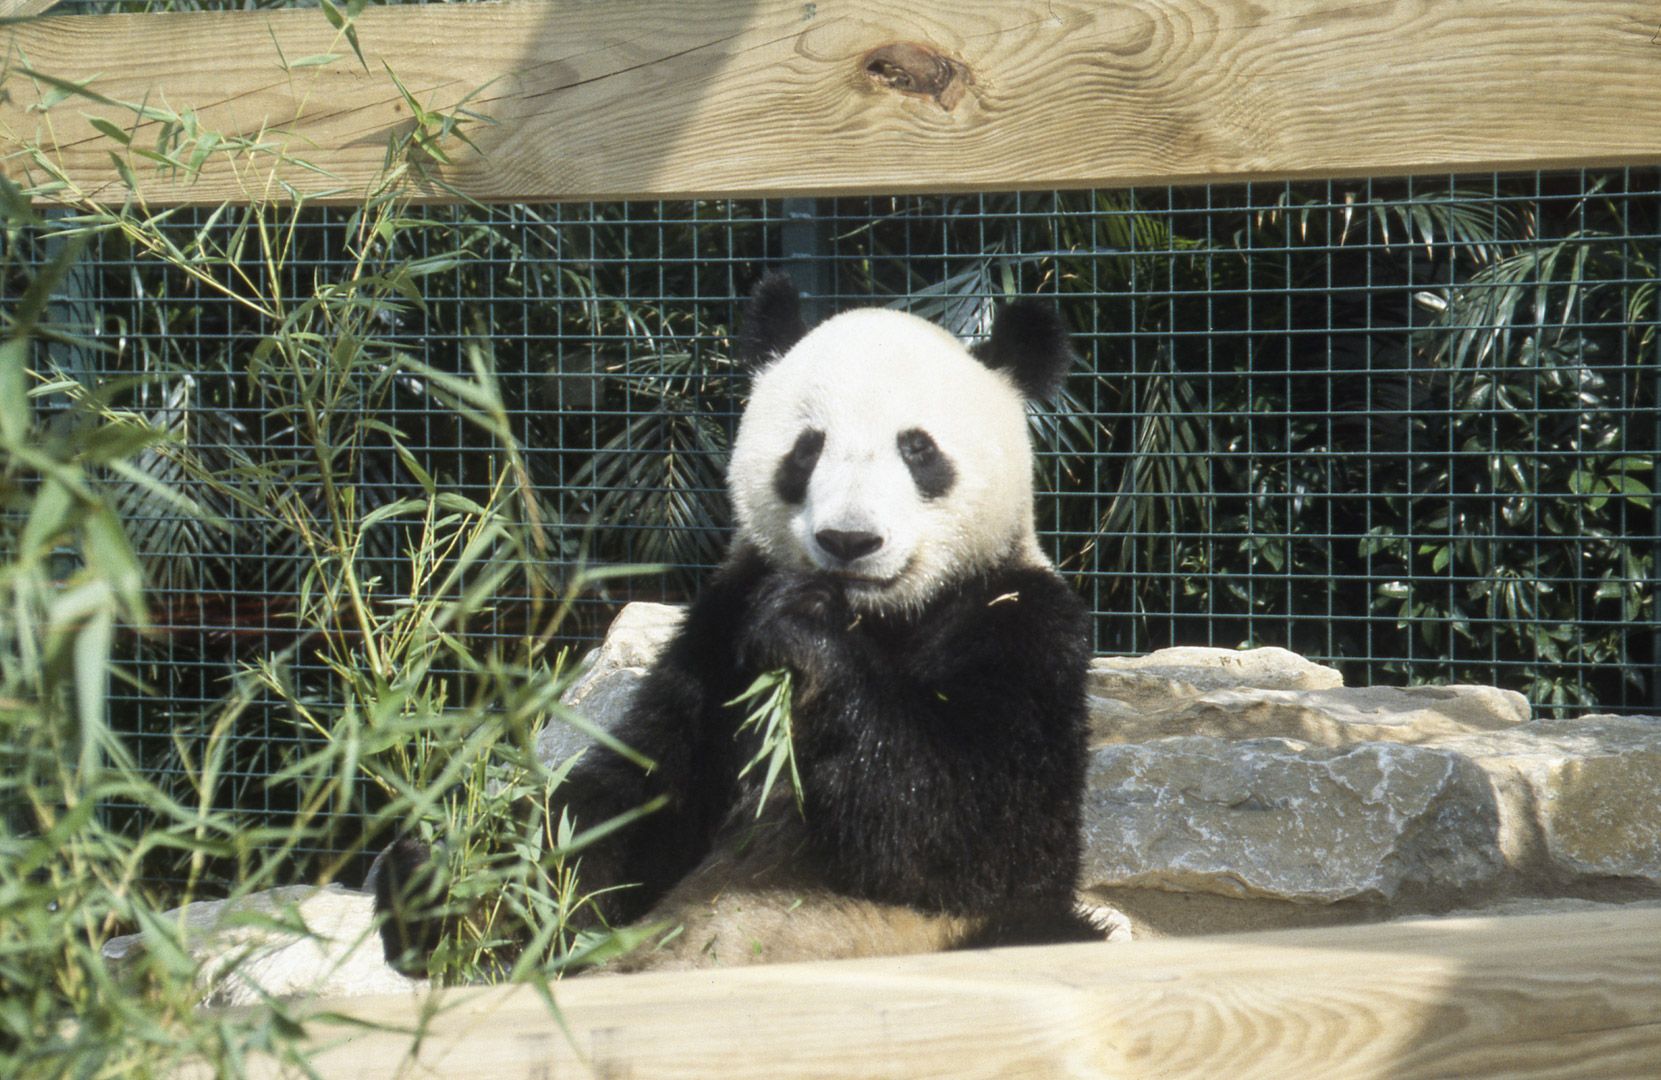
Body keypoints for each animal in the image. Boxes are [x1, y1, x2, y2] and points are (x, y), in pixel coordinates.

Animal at [378, 274, 1097, 972]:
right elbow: (631, 802)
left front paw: (804, 633)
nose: (849, 541)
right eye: (807, 450)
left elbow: (977, 830)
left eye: (917, 450)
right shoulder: (715, 634)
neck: (877, 616)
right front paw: (450, 889)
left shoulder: (1022, 624)